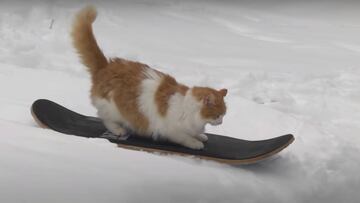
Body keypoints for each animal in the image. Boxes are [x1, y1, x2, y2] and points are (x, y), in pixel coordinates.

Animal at [71, 5, 226, 149]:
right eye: (218, 115)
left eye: (223, 115)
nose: (221, 122)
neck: (188, 108)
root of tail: (106, 66)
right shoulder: (172, 130)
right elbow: (185, 138)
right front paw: (196, 143)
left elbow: (196, 133)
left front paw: (201, 135)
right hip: (113, 109)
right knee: (105, 118)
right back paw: (119, 130)